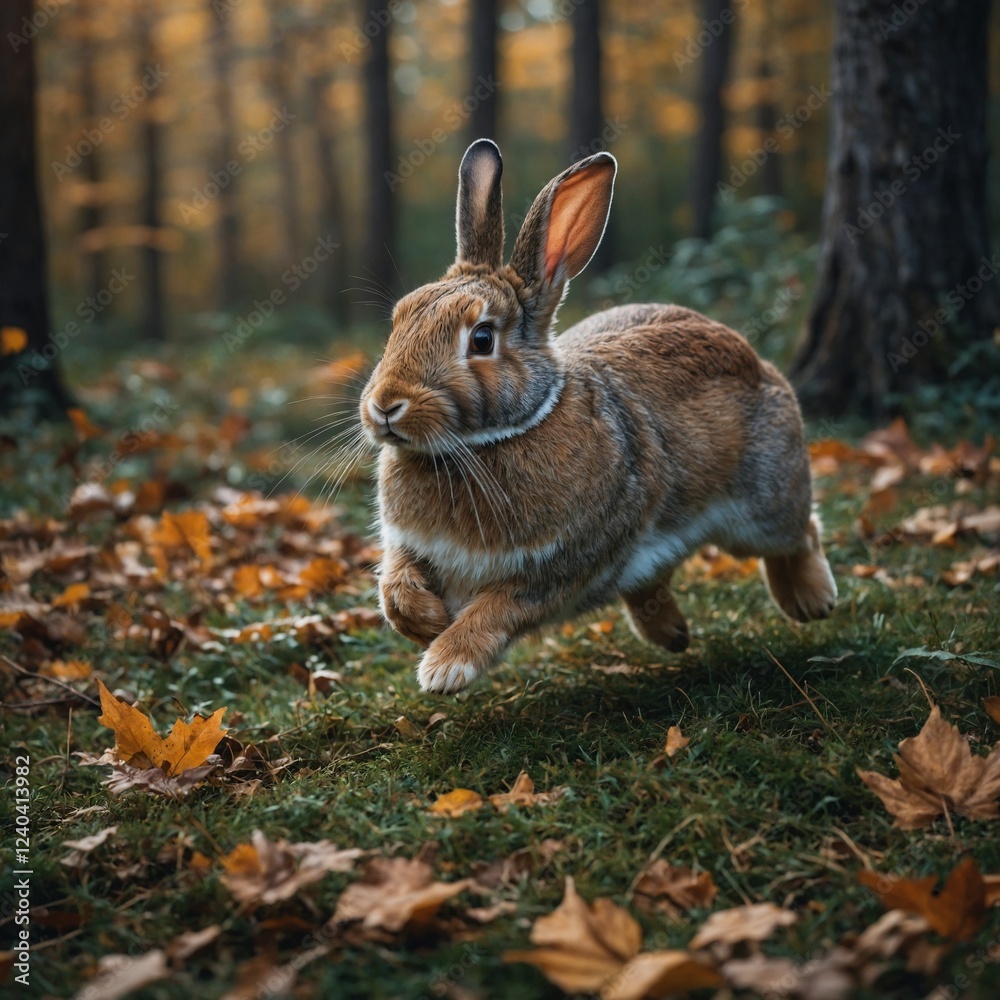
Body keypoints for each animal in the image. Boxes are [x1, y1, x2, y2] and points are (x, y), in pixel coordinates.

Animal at [359, 138, 837, 694]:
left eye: (481, 338)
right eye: (400, 317)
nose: (384, 405)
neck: (493, 439)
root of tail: (757, 362)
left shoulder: (563, 563)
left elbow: (497, 608)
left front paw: (444, 665)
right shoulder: (405, 547)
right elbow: (394, 588)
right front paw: (428, 623)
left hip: (763, 504)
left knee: (800, 530)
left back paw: (812, 601)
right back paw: (673, 634)